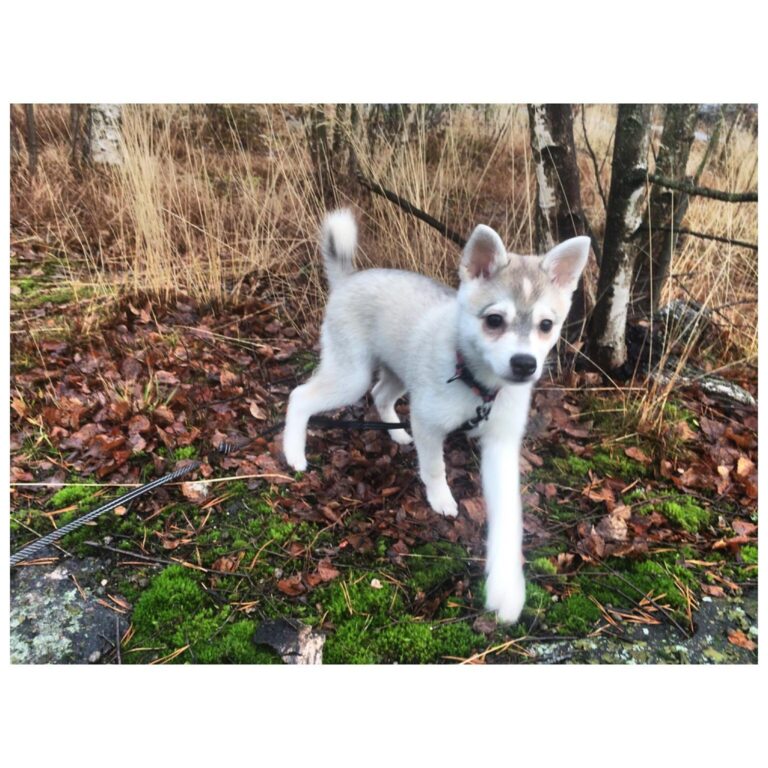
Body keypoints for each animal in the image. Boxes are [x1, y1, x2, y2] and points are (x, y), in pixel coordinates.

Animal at [282, 212, 588, 624]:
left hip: (398, 373)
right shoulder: (429, 421)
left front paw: (507, 587)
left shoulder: (501, 445)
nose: (525, 365)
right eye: (494, 320)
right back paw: (294, 453)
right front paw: (440, 498)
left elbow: (509, 518)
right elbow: (434, 467)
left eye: (546, 326)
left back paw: (397, 436)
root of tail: (349, 279)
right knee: (299, 396)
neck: (477, 385)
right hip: (351, 376)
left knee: (381, 396)